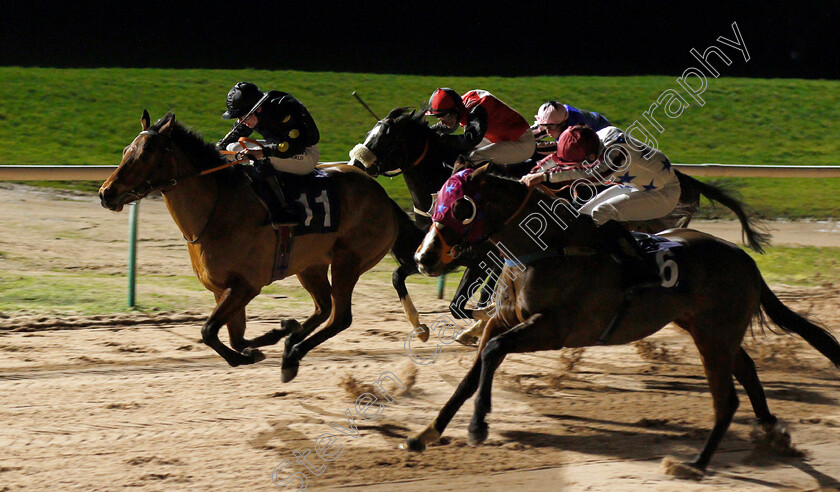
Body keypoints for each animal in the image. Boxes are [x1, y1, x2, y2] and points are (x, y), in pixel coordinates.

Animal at [100, 109, 418, 382]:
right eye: (126, 151)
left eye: (144, 155)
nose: (106, 193)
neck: (217, 208)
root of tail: (385, 198)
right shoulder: (222, 289)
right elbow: (234, 336)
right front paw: (275, 334)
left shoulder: (246, 285)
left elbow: (209, 331)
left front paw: (249, 354)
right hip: (311, 265)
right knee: (323, 307)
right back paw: (291, 343)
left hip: (348, 261)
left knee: (340, 317)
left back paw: (292, 357)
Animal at [406, 164, 840, 472]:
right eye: (435, 200)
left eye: (461, 206)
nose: (424, 257)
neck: (545, 248)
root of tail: (745, 260)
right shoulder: (505, 318)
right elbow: (474, 370)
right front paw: (426, 433)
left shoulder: (556, 328)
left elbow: (494, 351)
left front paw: (478, 426)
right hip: (709, 328)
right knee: (747, 371)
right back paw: (771, 432)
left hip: (714, 333)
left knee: (729, 395)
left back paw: (696, 464)